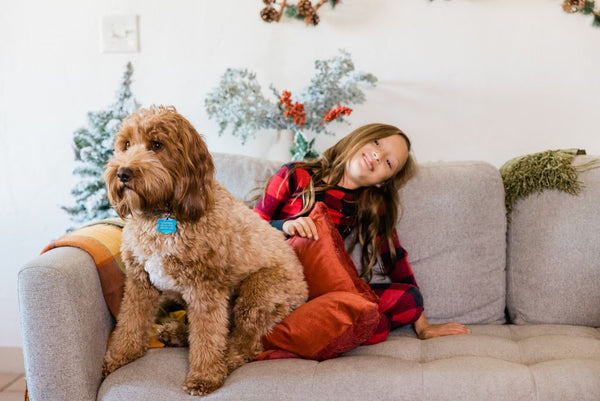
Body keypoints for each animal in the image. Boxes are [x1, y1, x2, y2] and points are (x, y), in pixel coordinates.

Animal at [101, 105, 308, 394]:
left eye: (157, 145)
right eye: (126, 144)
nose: (123, 173)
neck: (162, 214)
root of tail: (305, 287)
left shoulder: (205, 289)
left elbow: (207, 337)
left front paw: (205, 376)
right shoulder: (139, 282)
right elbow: (130, 321)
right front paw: (120, 356)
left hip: (258, 293)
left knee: (246, 344)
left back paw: (226, 360)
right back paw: (176, 333)